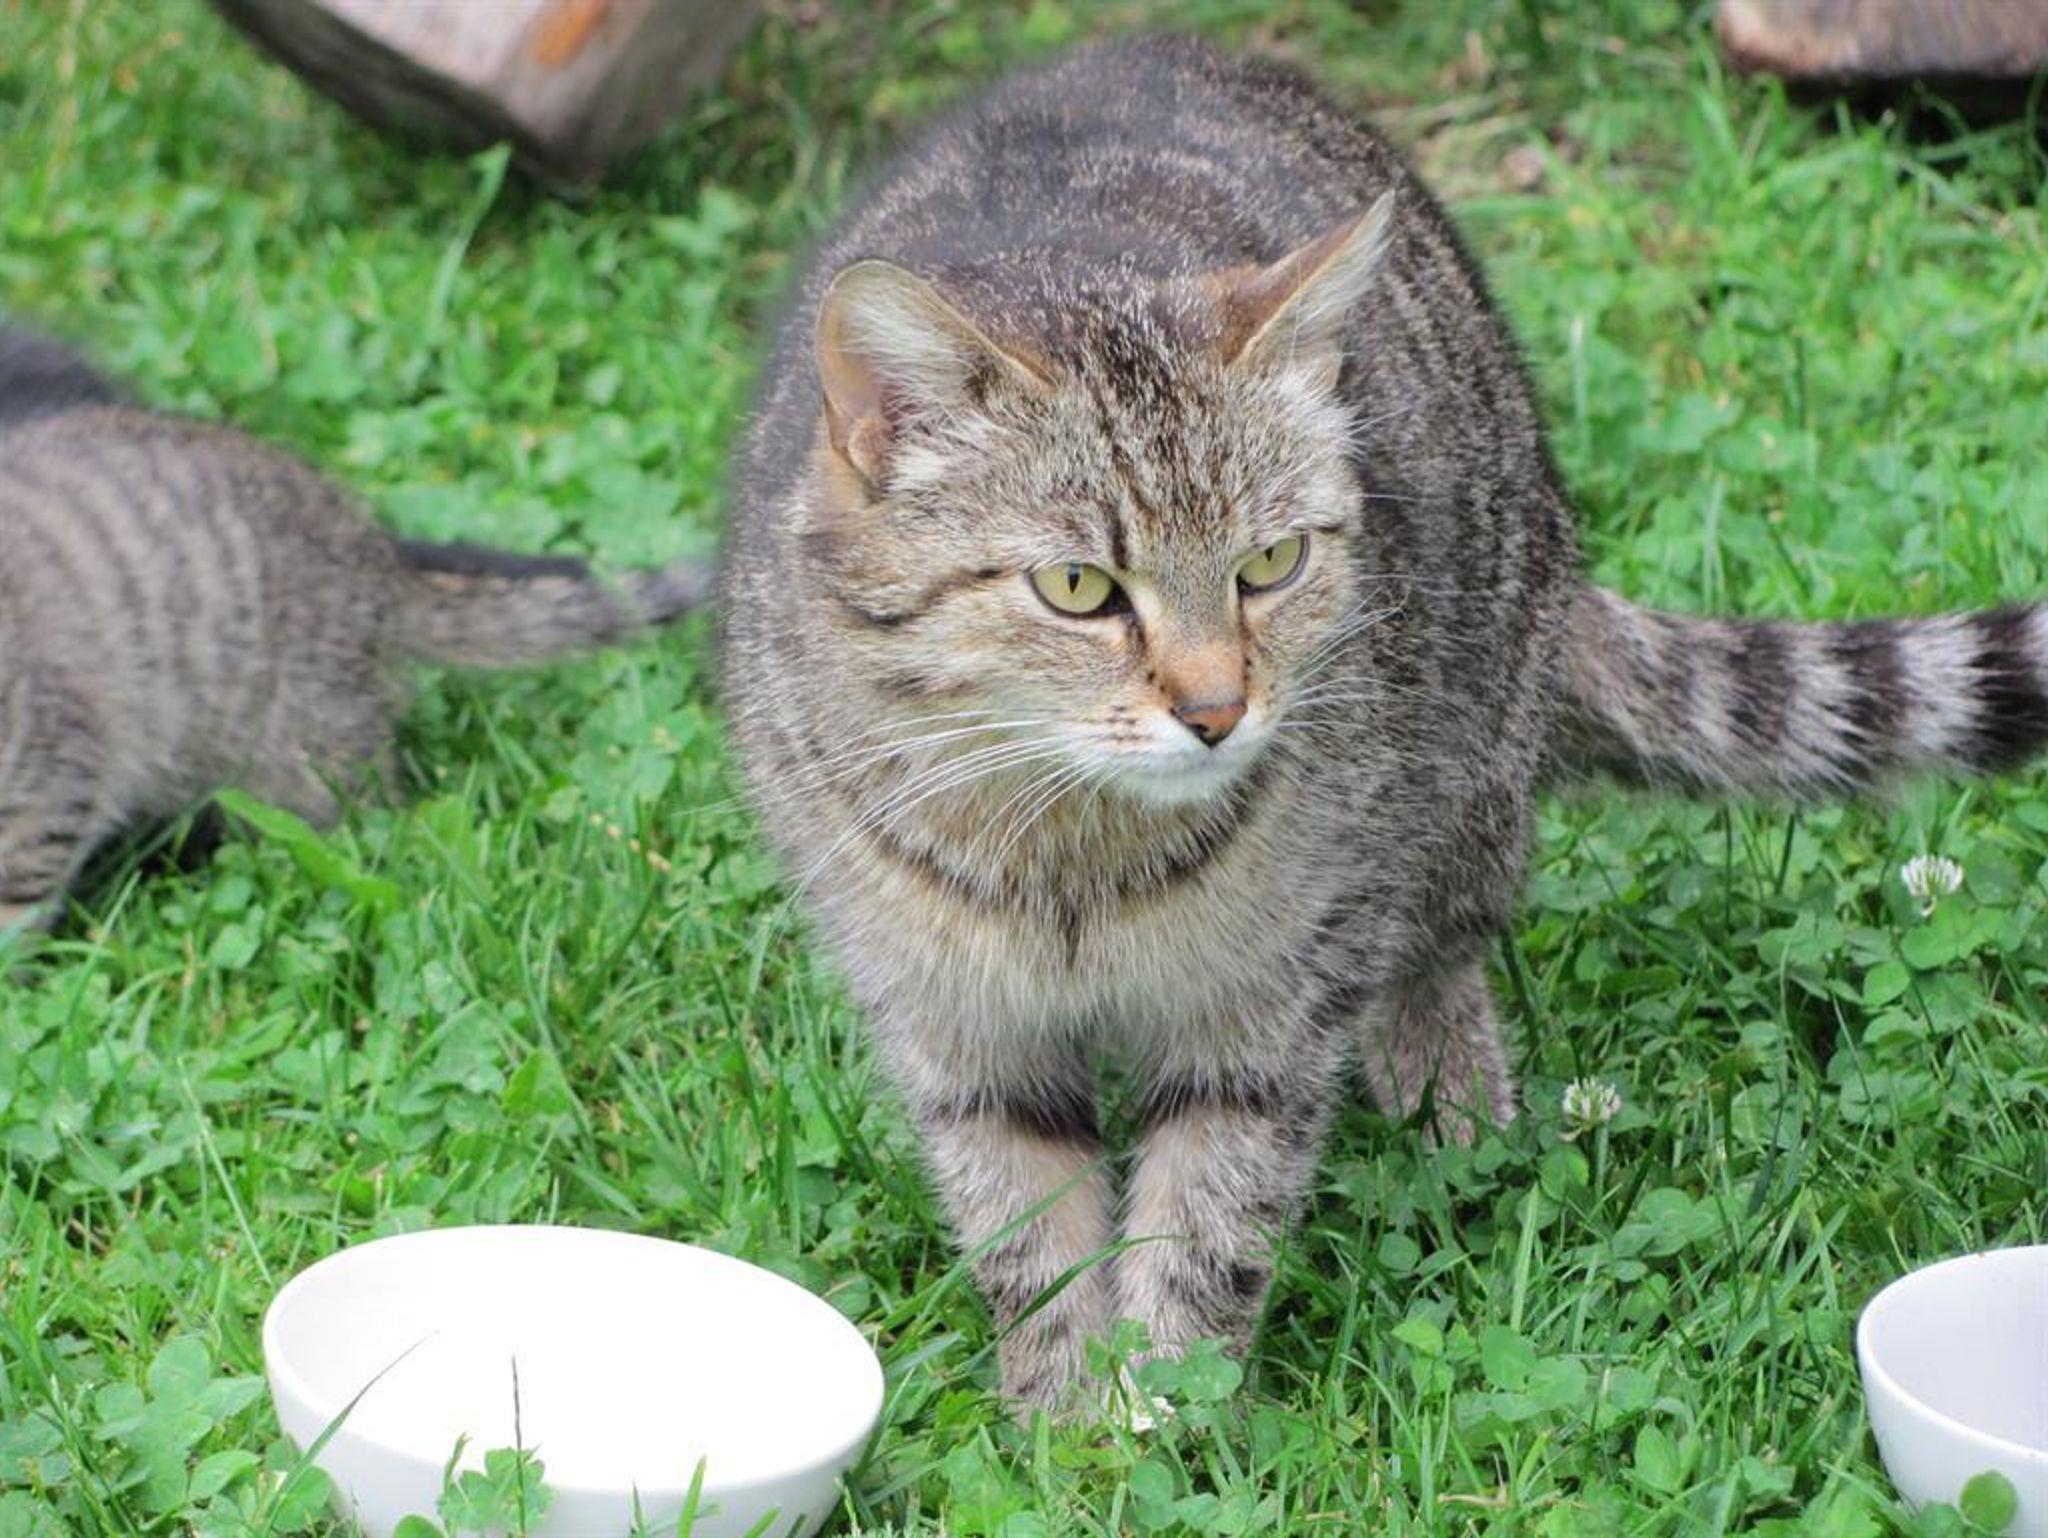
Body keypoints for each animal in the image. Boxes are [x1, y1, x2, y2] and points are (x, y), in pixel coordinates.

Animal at [718, 35, 2048, 1412]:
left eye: (1270, 562)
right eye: (1078, 586)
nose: (1216, 708)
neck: (1070, 854)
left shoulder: (1269, 1005)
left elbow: (1208, 1217)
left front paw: (1167, 1407)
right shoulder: (956, 1030)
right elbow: (1028, 1238)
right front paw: (1064, 1411)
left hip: (1463, 771)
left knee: (1441, 950)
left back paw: (1449, 1100)